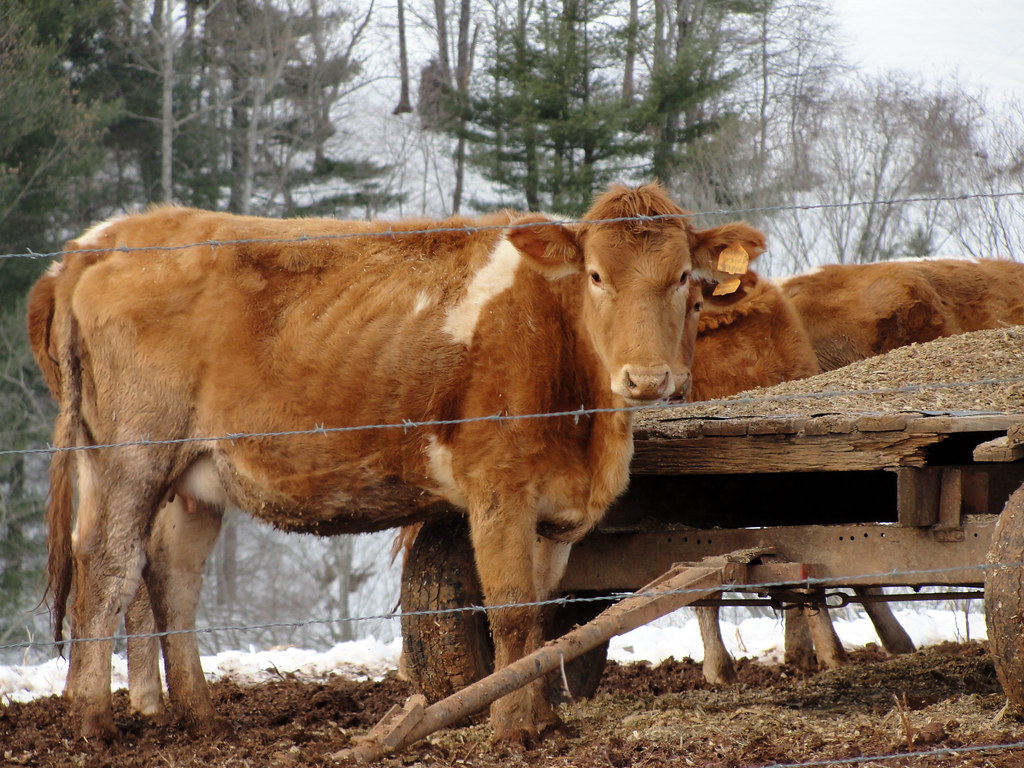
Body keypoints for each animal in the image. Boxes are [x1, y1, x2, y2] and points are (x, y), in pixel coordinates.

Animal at [39, 184, 768, 744]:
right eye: (596, 276)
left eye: (683, 278)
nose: (647, 378)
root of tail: (110, 234)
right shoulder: (500, 491)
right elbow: (509, 613)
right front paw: (512, 730)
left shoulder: (552, 511)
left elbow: (540, 618)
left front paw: (542, 721)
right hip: (129, 455)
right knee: (107, 568)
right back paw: (92, 723)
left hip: (194, 478)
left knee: (173, 576)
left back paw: (201, 717)